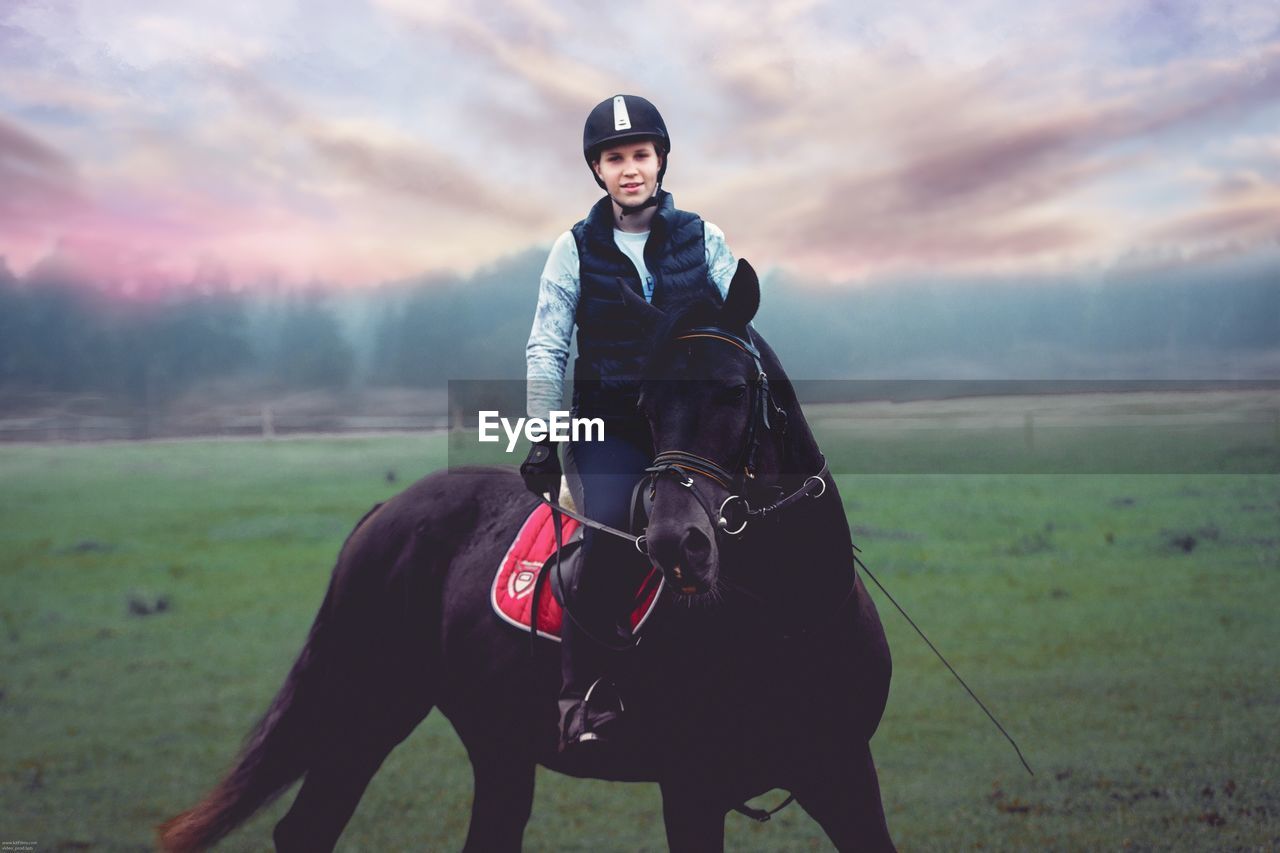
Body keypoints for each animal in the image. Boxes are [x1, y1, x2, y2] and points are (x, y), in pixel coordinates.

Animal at [160, 262, 896, 845]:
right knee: (307, 826)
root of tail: (384, 513)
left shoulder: (844, 772)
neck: (788, 620)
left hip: (494, 738)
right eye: (645, 402)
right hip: (369, 705)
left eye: (735, 390)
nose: (674, 541)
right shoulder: (692, 790)